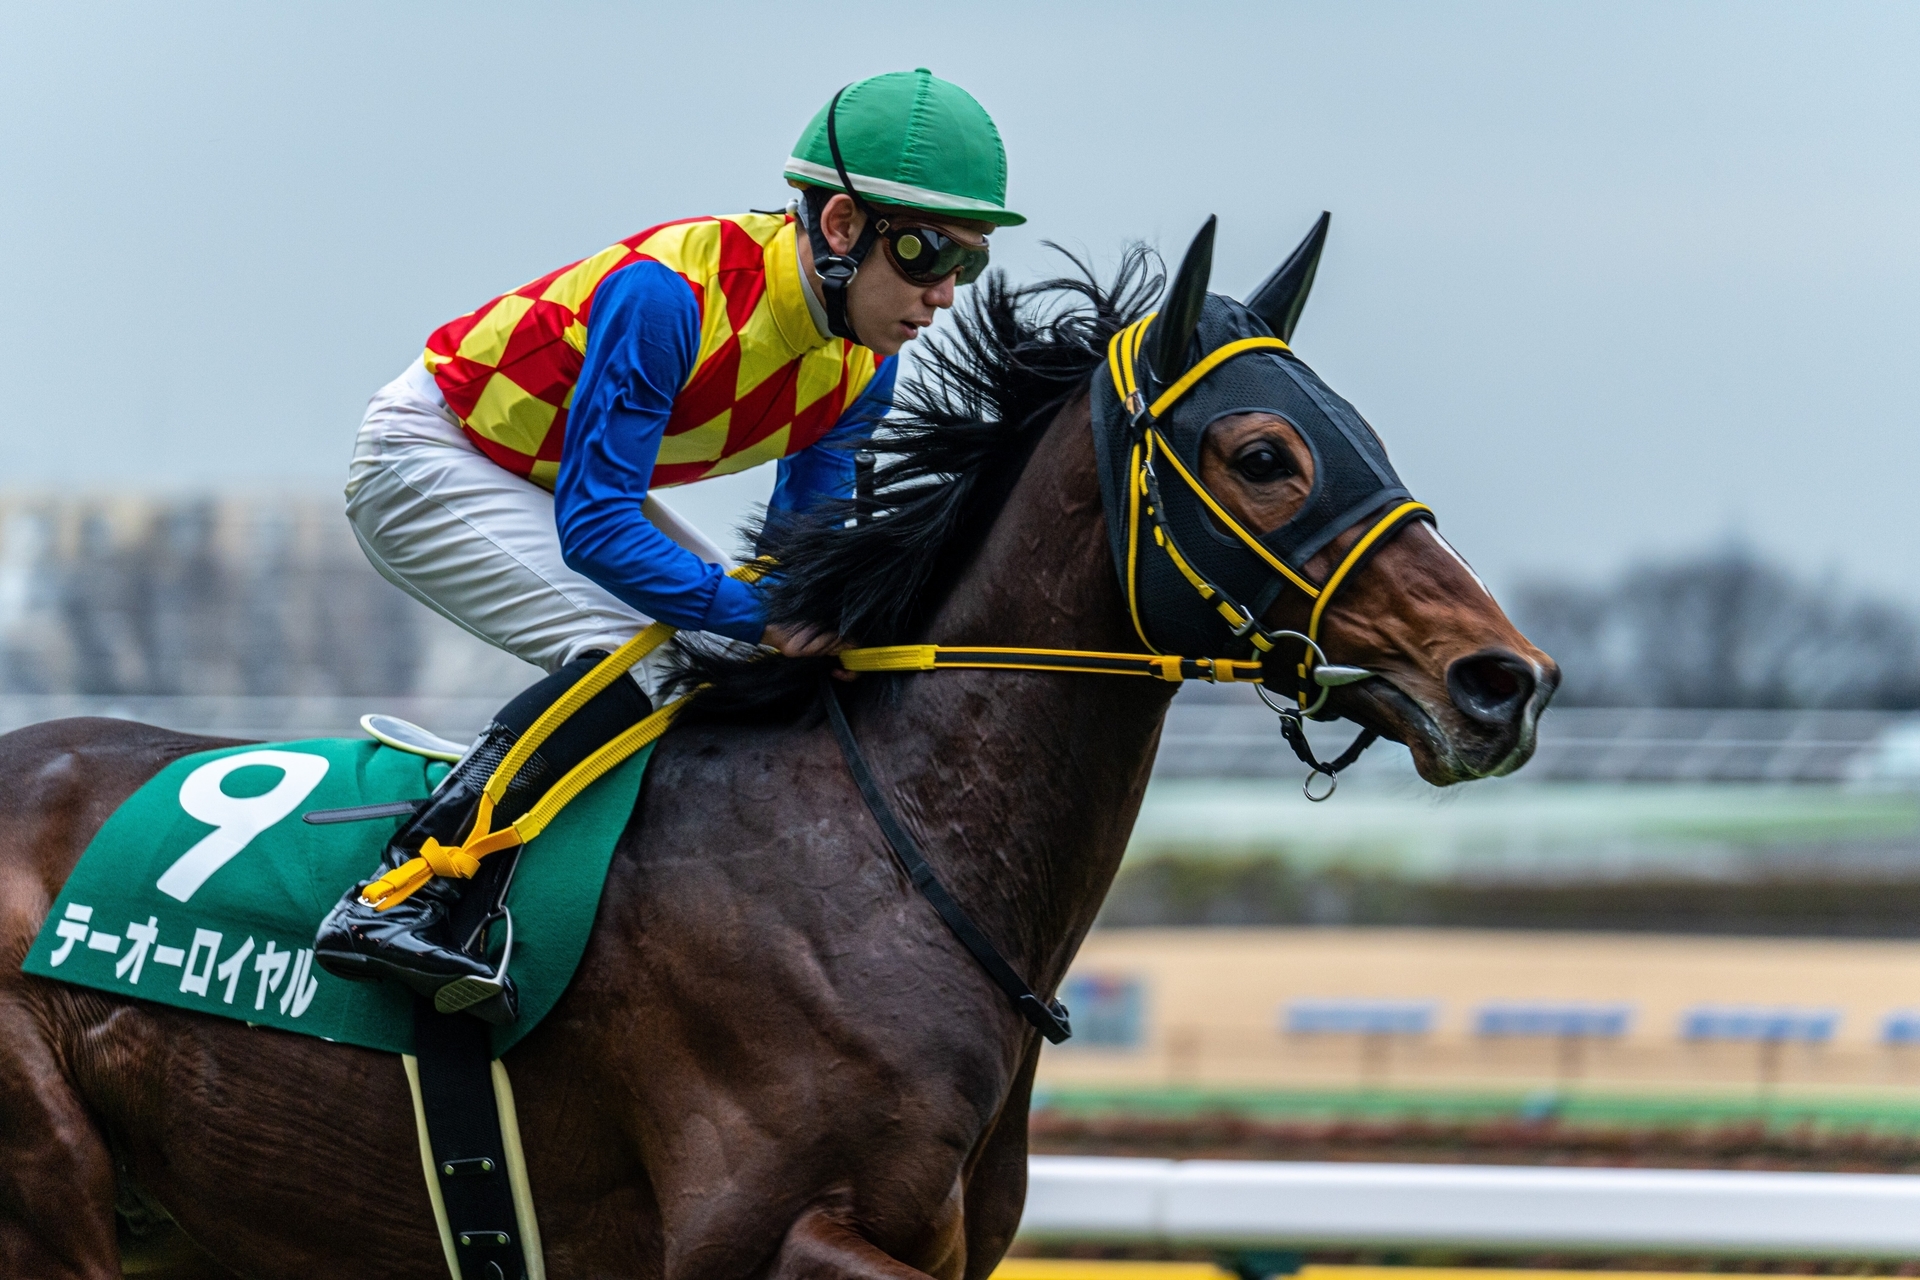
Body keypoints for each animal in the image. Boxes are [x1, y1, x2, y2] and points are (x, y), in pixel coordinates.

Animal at [0, 223, 1556, 1279]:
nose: (1504, 681)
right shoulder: (752, 1238)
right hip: (52, 1193)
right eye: (1263, 456)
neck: (886, 854)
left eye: (1360, 432)